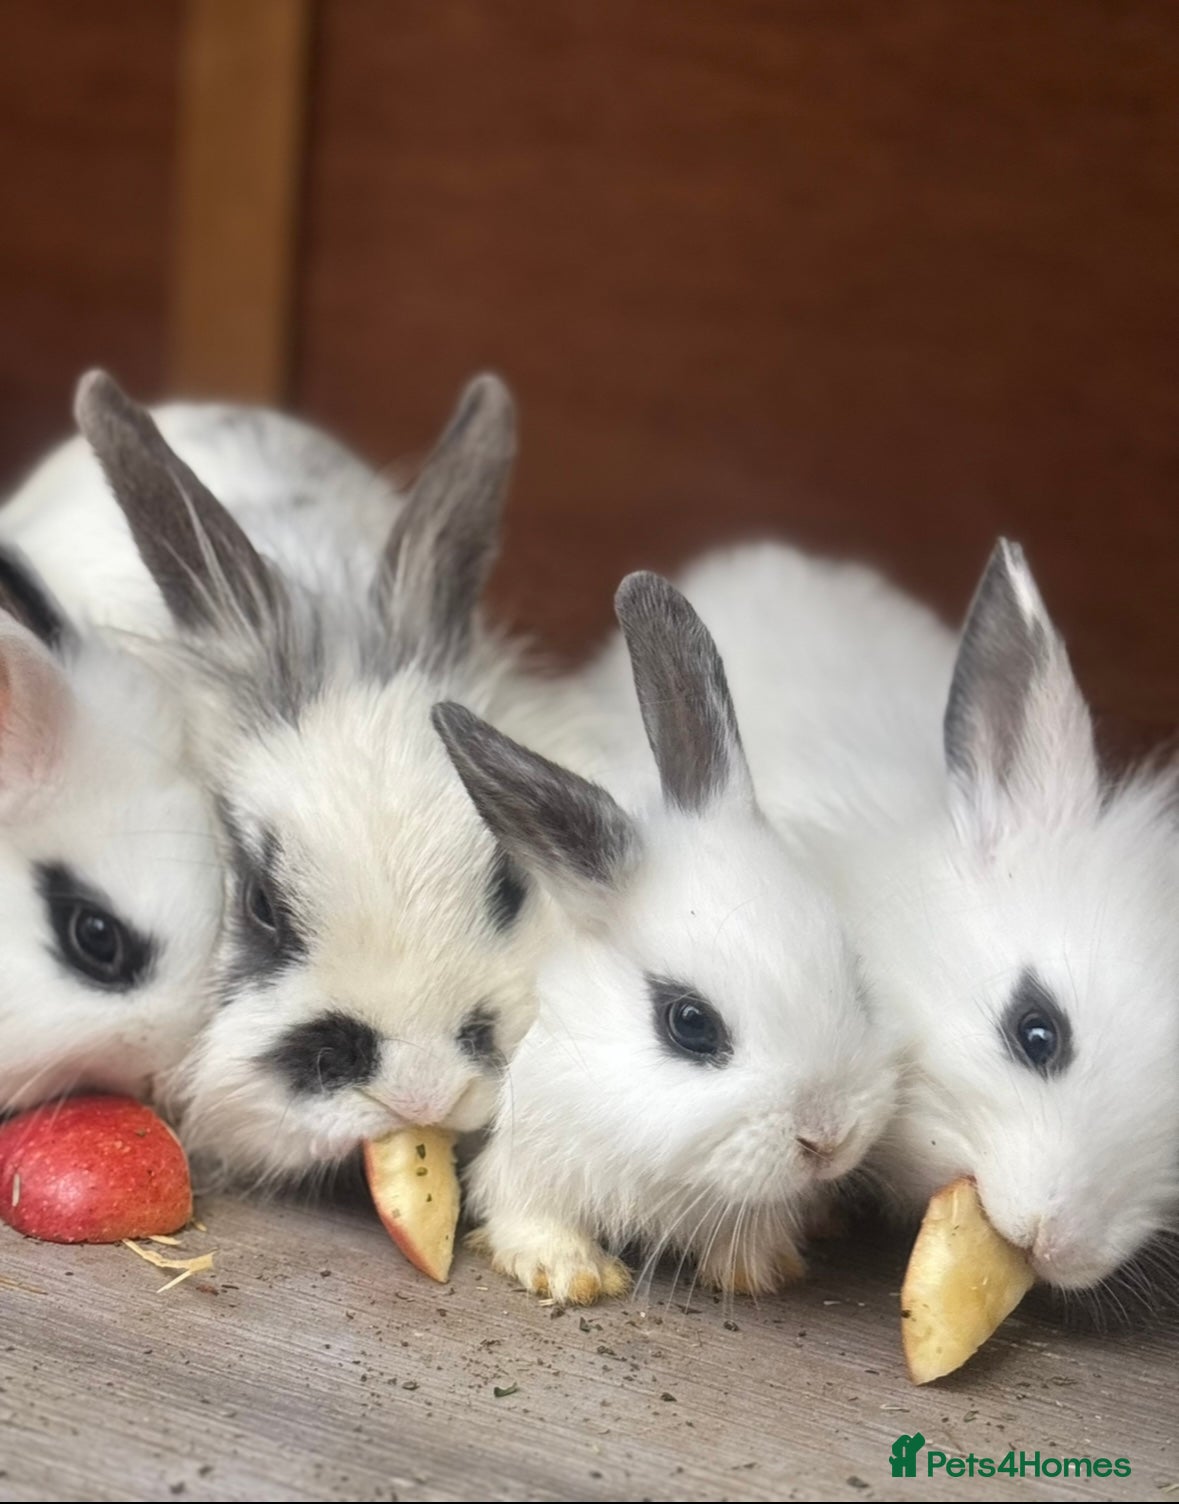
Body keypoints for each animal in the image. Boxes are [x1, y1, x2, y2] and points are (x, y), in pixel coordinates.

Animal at [431, 572, 899, 1305]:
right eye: (691, 1024)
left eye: (853, 977)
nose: (828, 1138)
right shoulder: (527, 1155)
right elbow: (524, 1213)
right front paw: (570, 1272)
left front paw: (755, 1268)